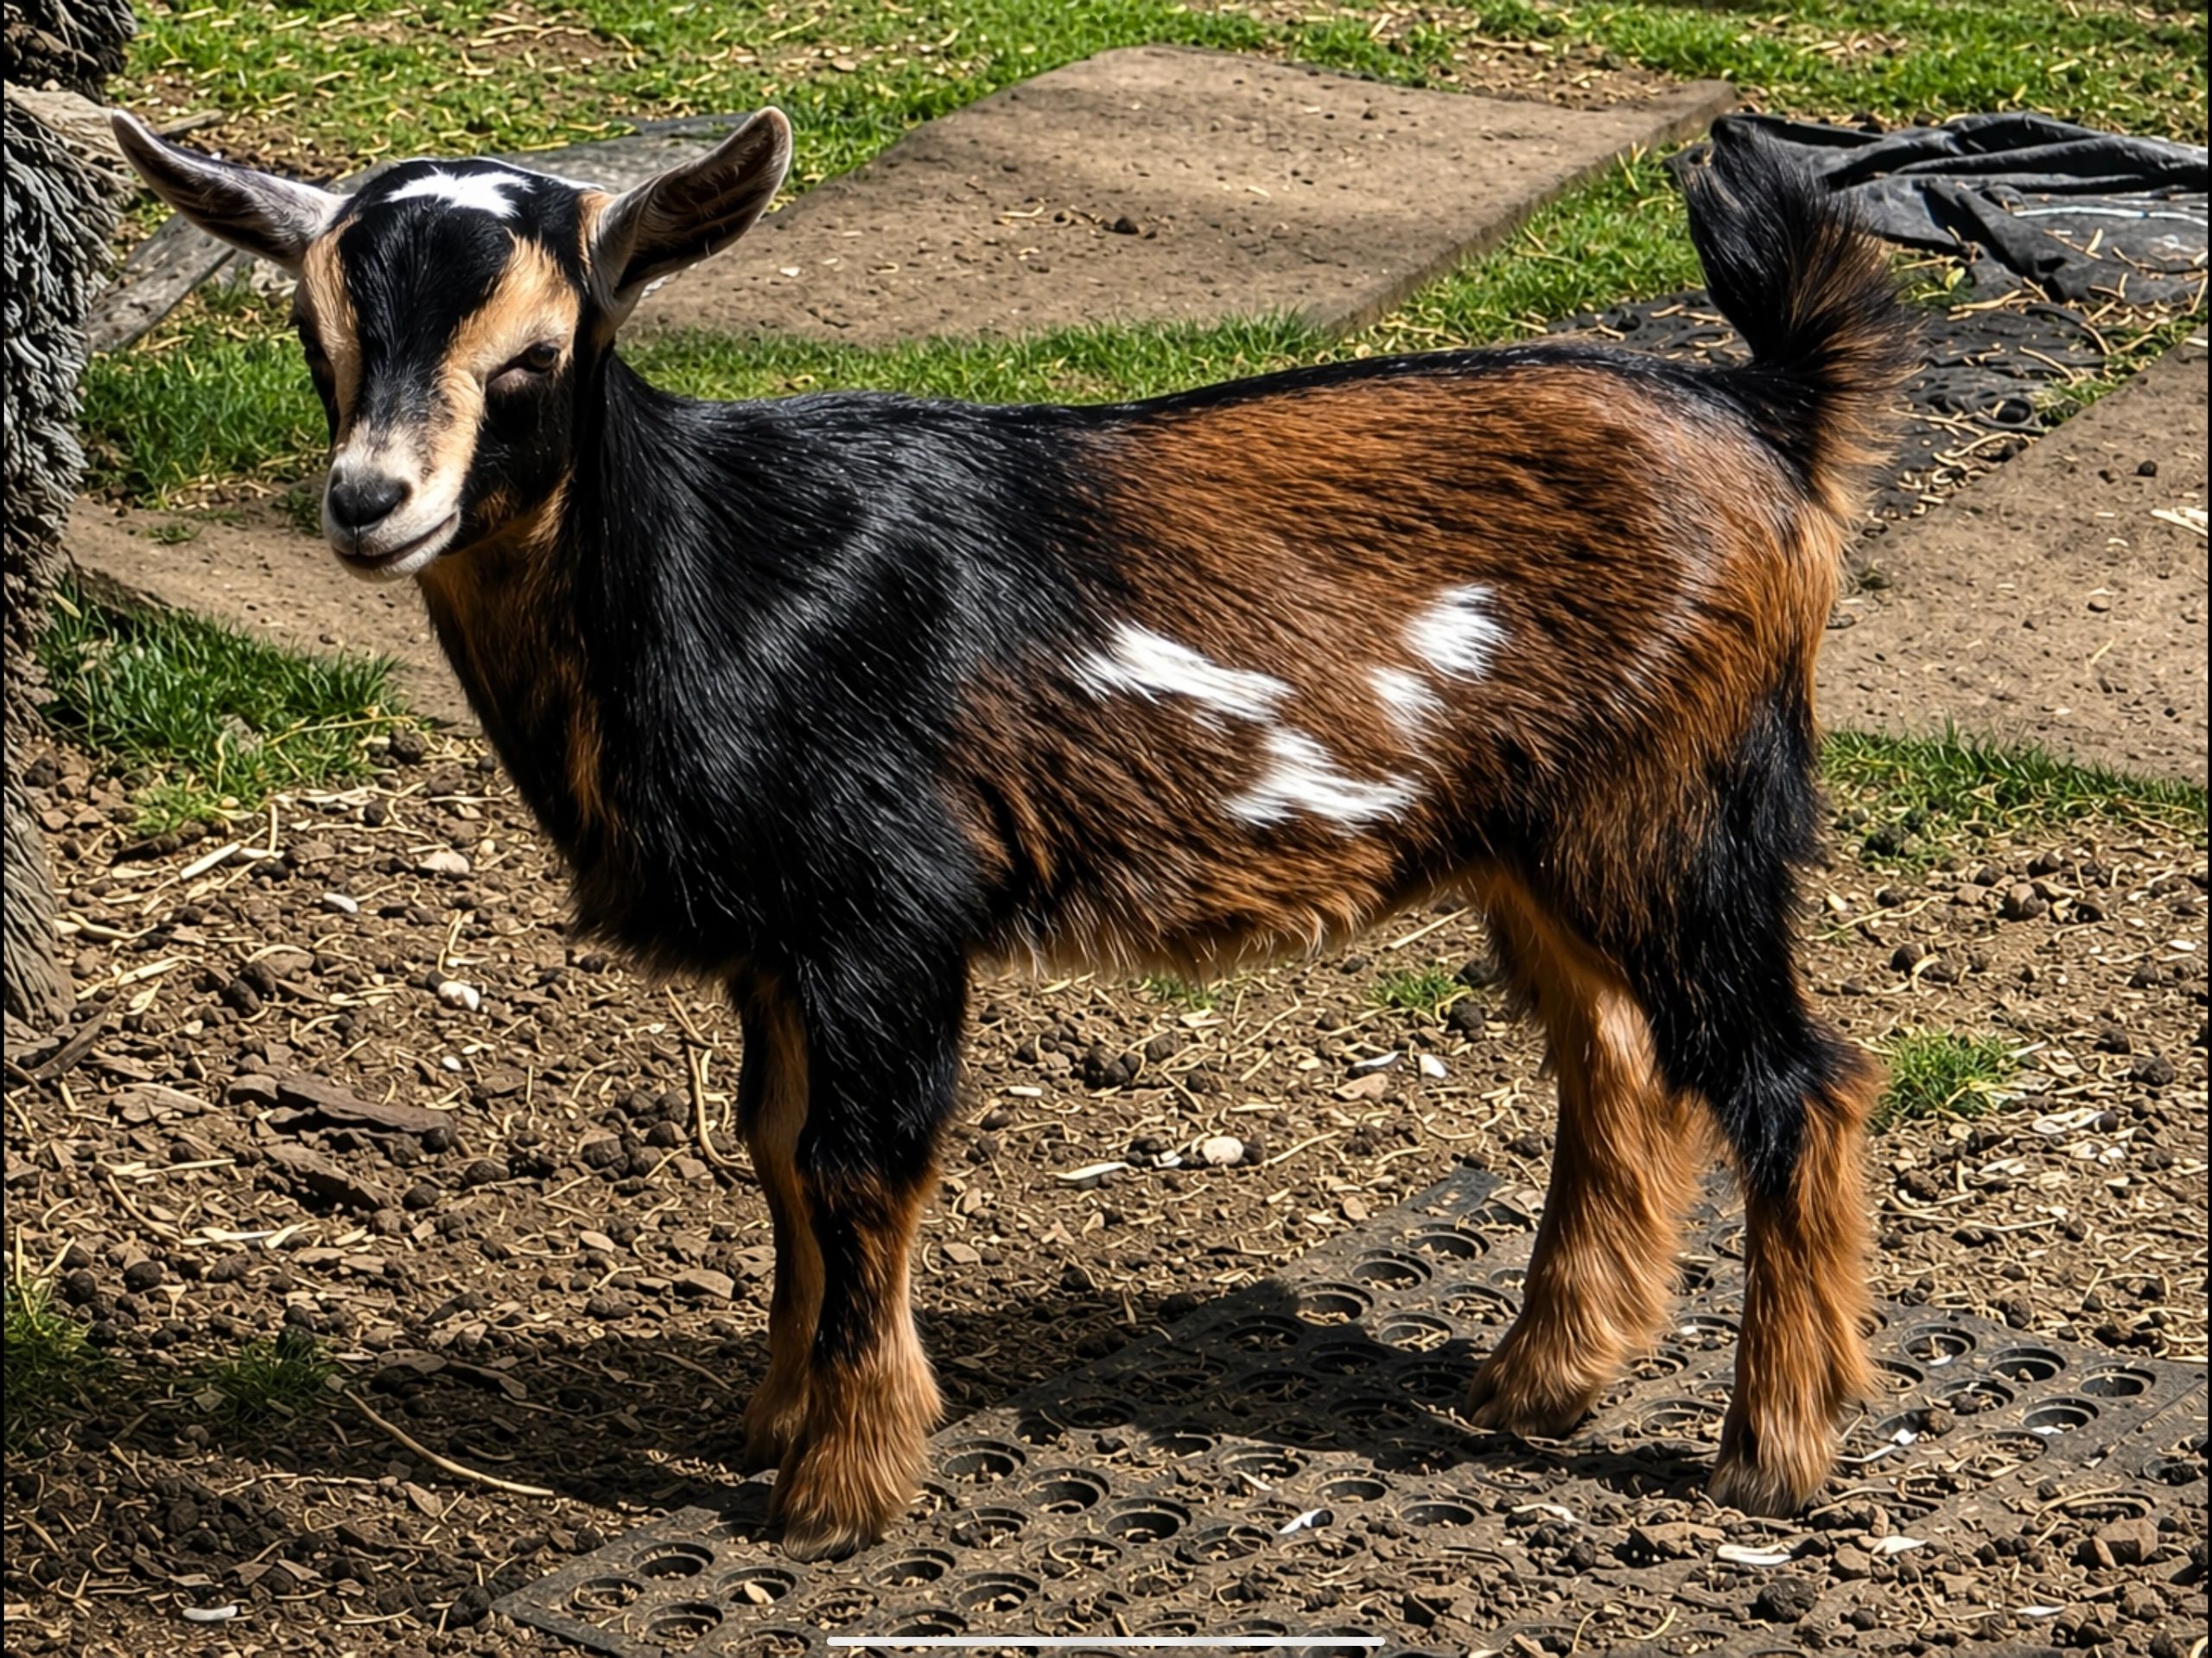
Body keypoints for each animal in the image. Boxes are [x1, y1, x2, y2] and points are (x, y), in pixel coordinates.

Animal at [116, 106, 1913, 1560]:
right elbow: (773, 1147)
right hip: (1548, 835)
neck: (715, 577)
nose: (368, 500)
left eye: (538, 356)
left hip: (1681, 804)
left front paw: (840, 1486)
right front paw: (768, 1419)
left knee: (1794, 1076)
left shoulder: (889, 902)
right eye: (315, 332)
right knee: (1620, 1057)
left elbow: (861, 1161)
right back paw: (1541, 1376)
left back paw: (1772, 1449)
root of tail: (1770, 425)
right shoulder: (783, 943)